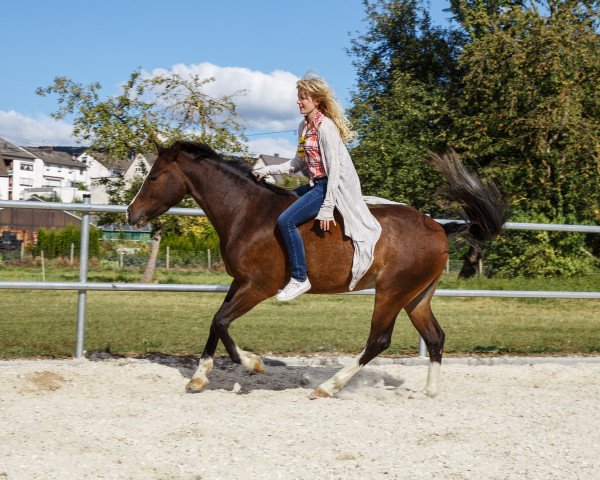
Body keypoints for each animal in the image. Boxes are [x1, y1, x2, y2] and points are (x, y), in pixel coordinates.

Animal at [125, 141, 506, 400]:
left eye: (154, 176)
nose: (131, 214)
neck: (248, 213)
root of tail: (439, 228)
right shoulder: (240, 282)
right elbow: (215, 323)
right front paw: (198, 377)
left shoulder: (259, 286)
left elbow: (221, 322)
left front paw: (254, 364)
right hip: (417, 297)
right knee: (436, 337)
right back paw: (427, 392)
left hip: (391, 293)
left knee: (379, 340)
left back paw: (327, 387)